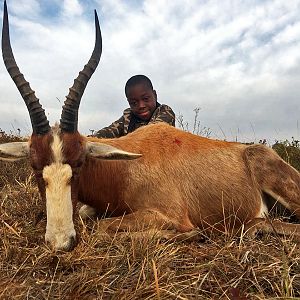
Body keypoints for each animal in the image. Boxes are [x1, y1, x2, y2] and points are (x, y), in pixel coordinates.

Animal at [0, 1, 300, 252]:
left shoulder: (168, 215)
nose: (61, 242)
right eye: (35, 167)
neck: (124, 169)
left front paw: (195, 234)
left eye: (79, 163)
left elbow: (103, 228)